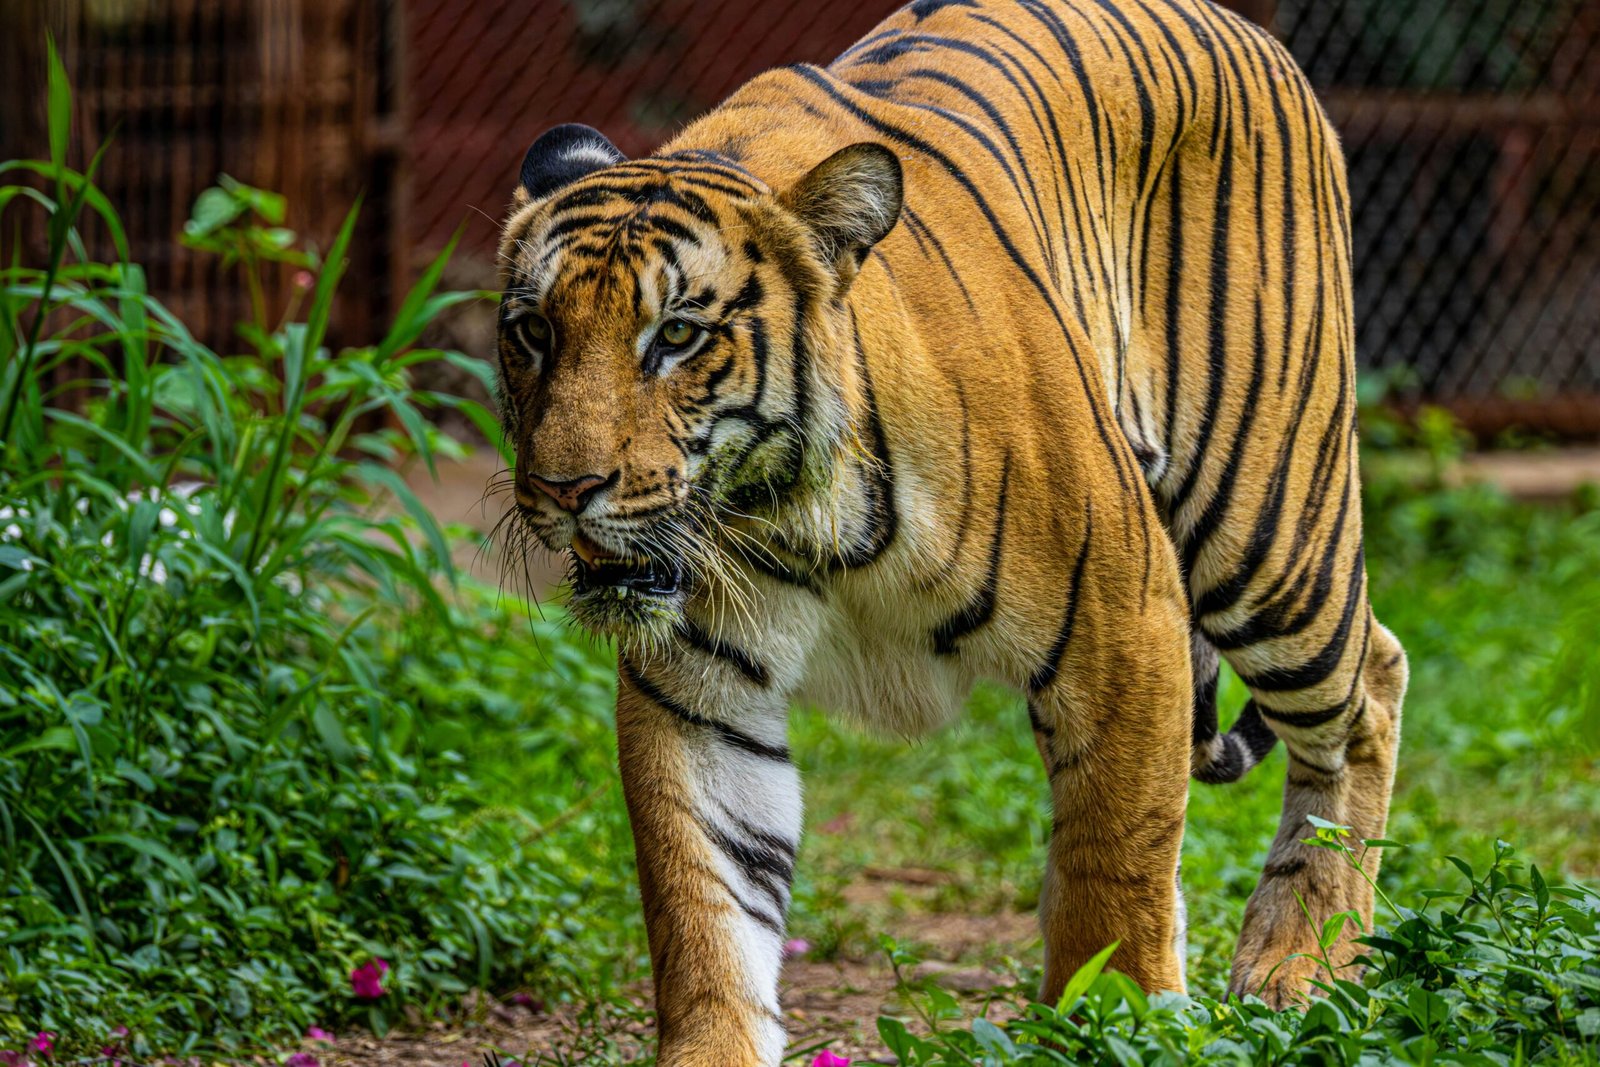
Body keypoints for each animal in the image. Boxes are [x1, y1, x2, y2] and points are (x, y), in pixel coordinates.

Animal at [493, 0, 1408, 1061]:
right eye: (534, 332)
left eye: (676, 334)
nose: (564, 488)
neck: (792, 512)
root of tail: (1248, 30)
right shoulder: (696, 688)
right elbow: (704, 891)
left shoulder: (1125, 623)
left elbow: (1114, 874)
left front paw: (1114, 1024)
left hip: (1264, 528)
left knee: (1367, 691)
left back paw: (1301, 965)